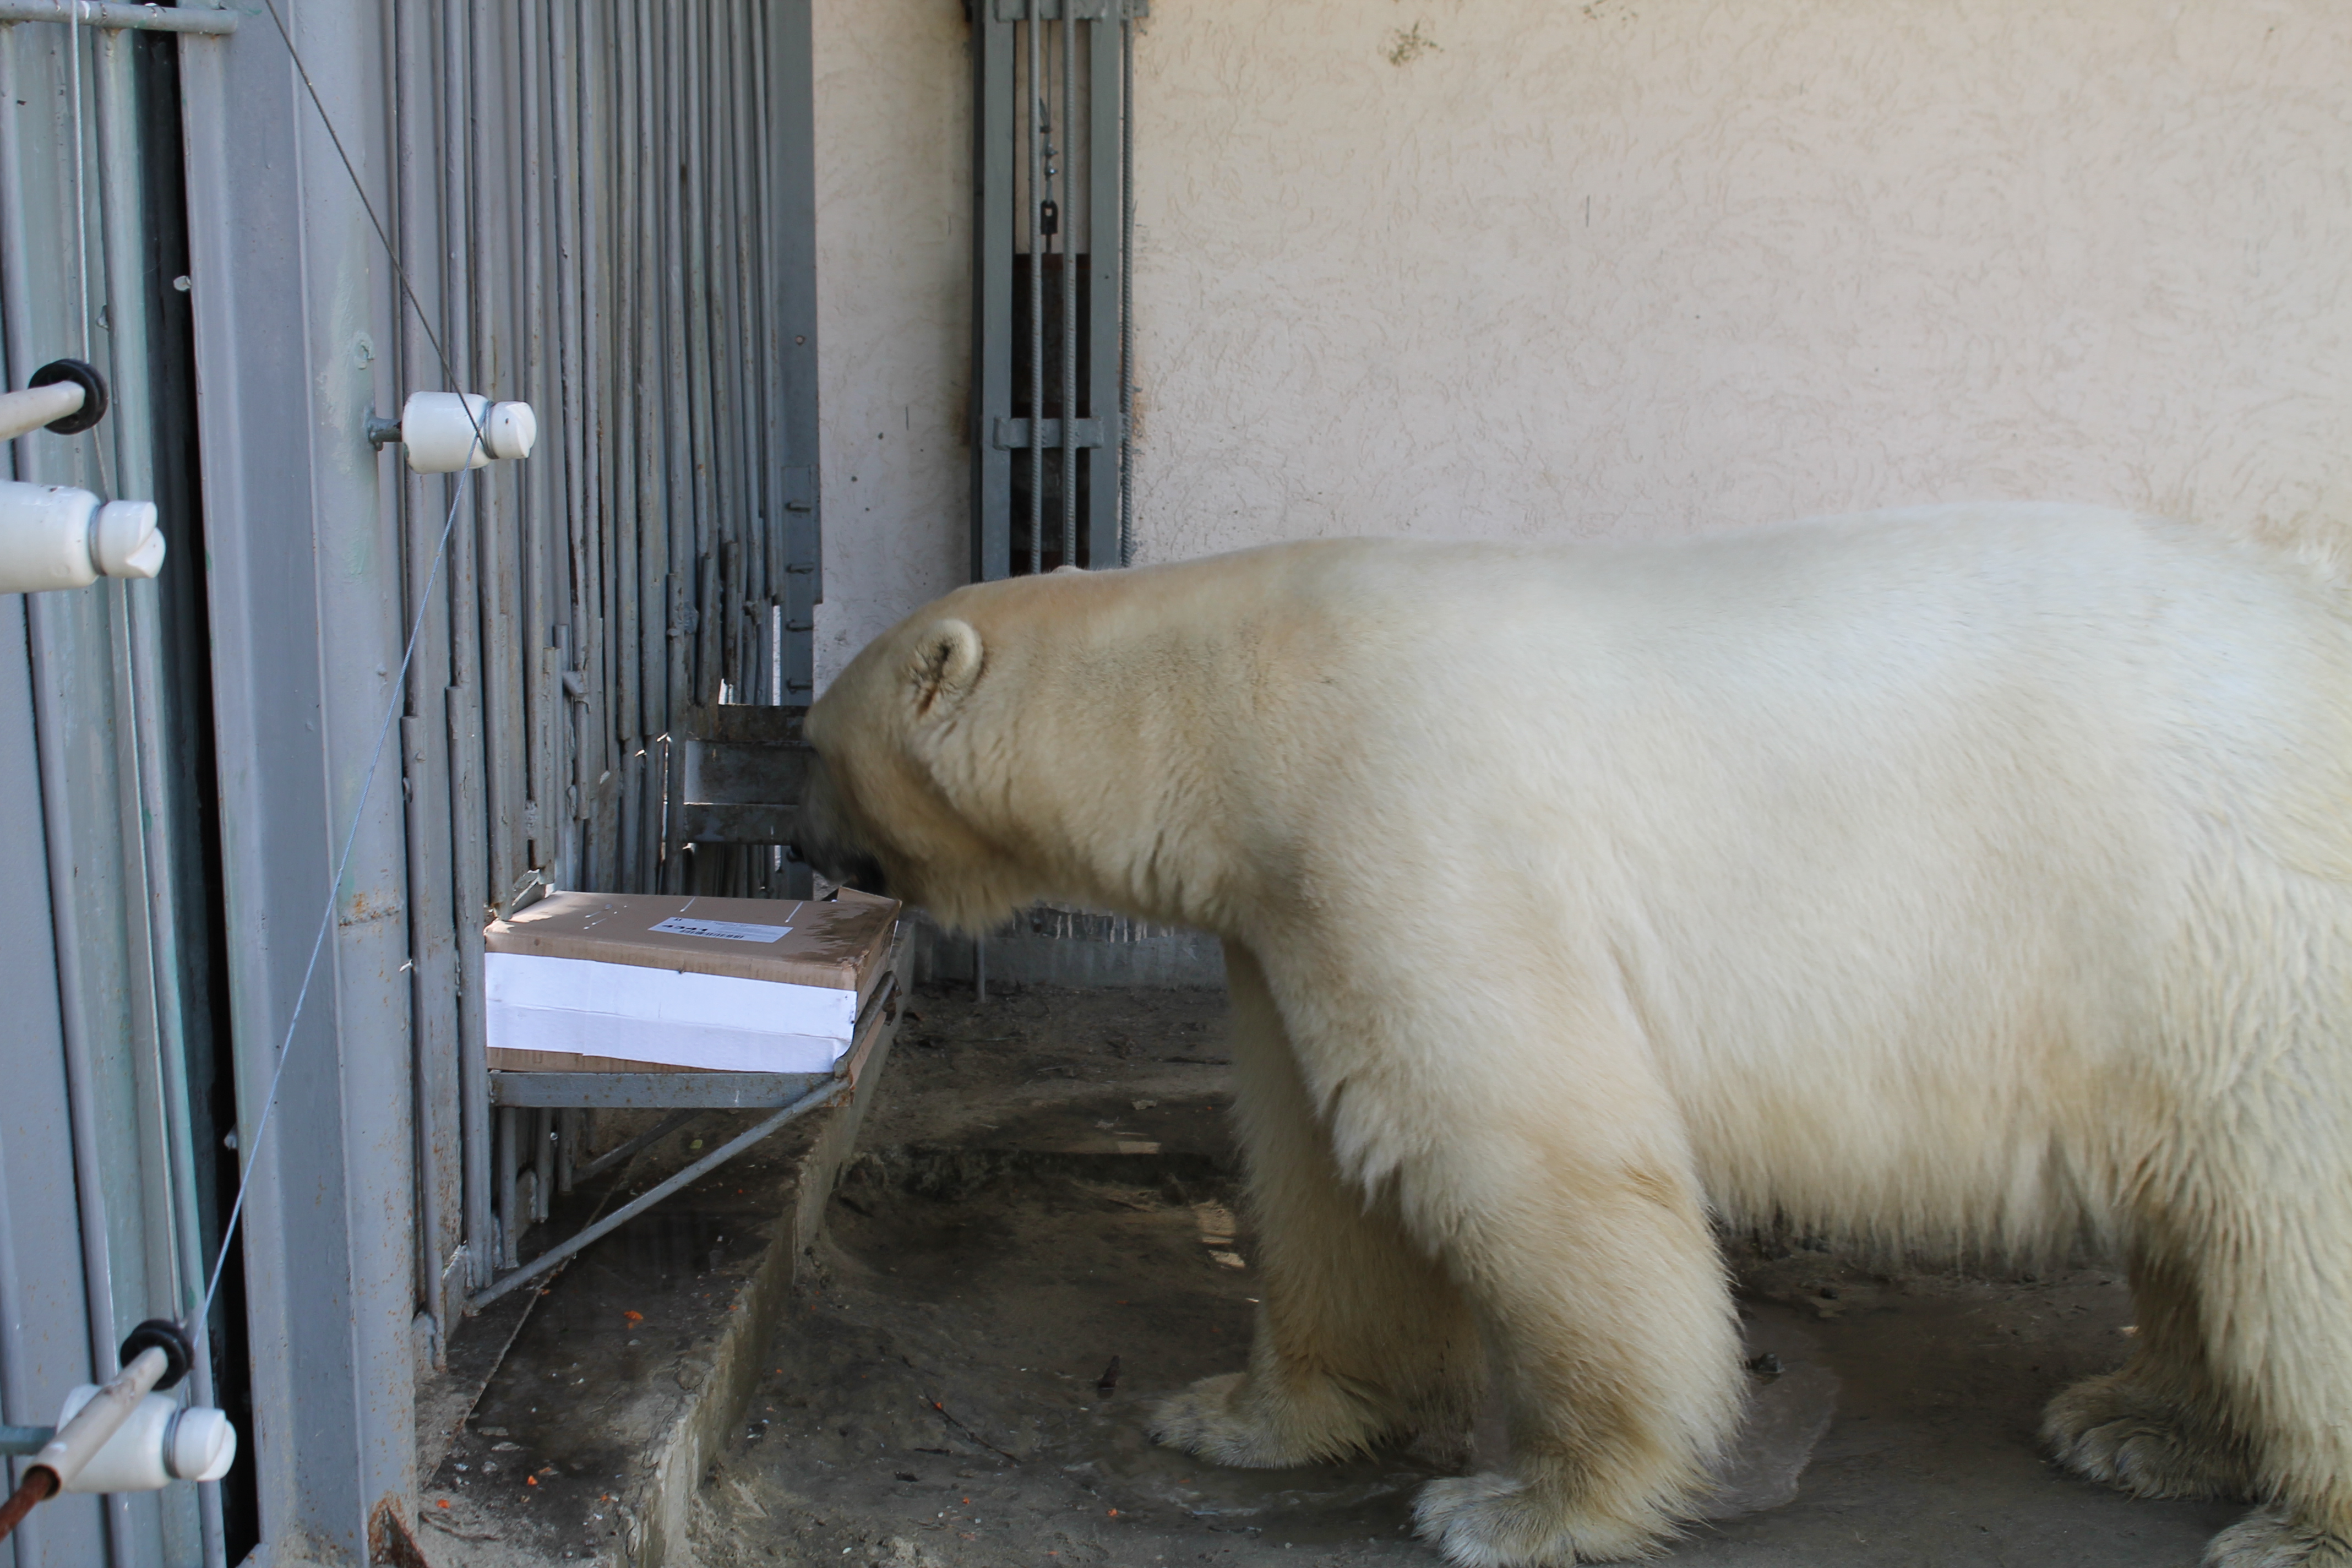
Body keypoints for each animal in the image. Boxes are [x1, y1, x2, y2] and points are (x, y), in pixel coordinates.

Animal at [799, 505, 2352, 1568]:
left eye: (809, 739)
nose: (812, 854)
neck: (1227, 700)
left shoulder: (1405, 821)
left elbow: (1523, 1150)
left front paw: (1518, 1500)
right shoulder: (1286, 905)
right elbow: (1319, 1165)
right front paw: (1235, 1413)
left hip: (2237, 923)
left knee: (2286, 1221)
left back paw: (2284, 1514)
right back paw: (2133, 1421)